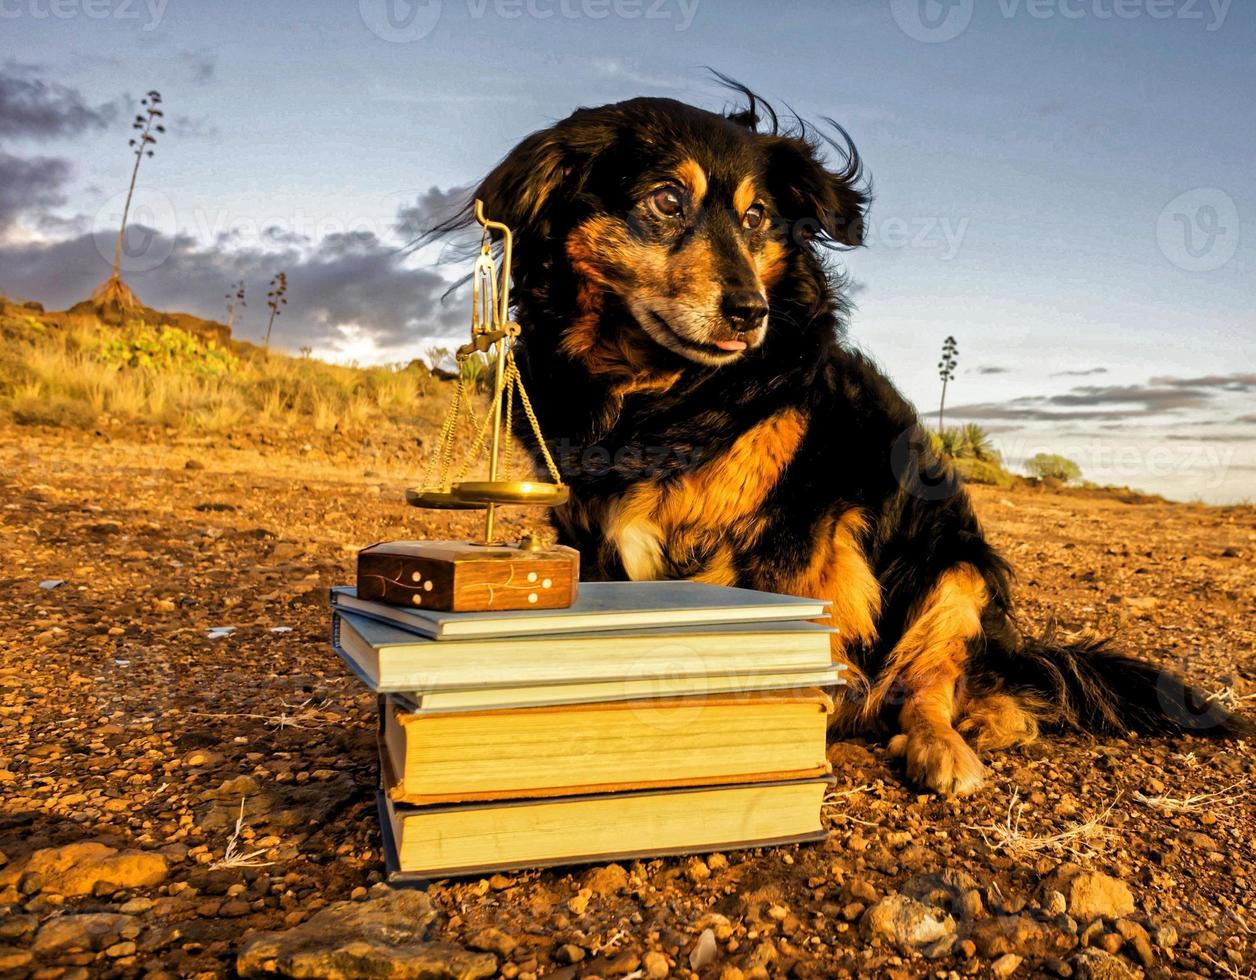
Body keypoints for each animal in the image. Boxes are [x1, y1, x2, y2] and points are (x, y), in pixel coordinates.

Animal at [429, 87, 1245, 794]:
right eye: (665, 201)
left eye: (758, 217)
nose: (749, 313)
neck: (662, 397)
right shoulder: (590, 526)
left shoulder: (799, 528)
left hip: (957, 570)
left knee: (930, 686)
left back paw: (952, 741)